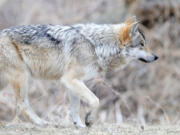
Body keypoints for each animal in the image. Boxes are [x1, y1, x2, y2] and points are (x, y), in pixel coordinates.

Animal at [0, 16, 158, 127]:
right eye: (142, 45)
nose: (156, 57)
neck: (97, 46)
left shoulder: (74, 82)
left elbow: (74, 109)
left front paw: (79, 125)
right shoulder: (70, 79)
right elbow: (95, 100)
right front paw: (88, 120)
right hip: (22, 77)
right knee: (21, 104)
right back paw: (41, 122)